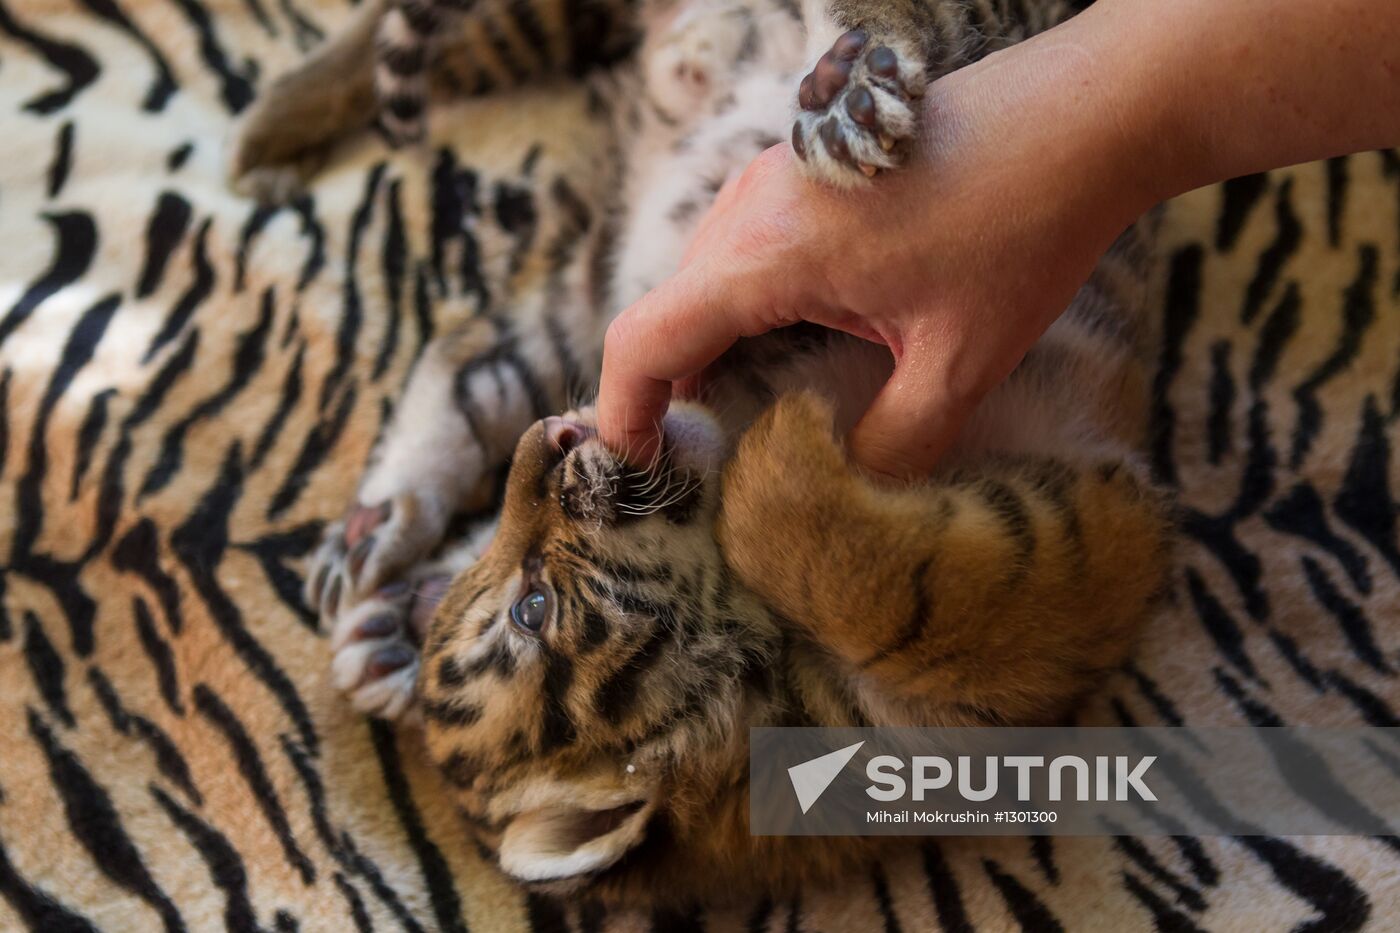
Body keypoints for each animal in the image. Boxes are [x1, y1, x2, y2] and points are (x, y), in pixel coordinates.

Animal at [229, 0, 1173, 907]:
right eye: (527, 607)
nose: (552, 437)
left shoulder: (1072, 572)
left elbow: (860, 570)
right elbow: (860, 565)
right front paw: (391, 632)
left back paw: (844, 91)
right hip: (586, 292)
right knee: (466, 350)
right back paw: (372, 520)